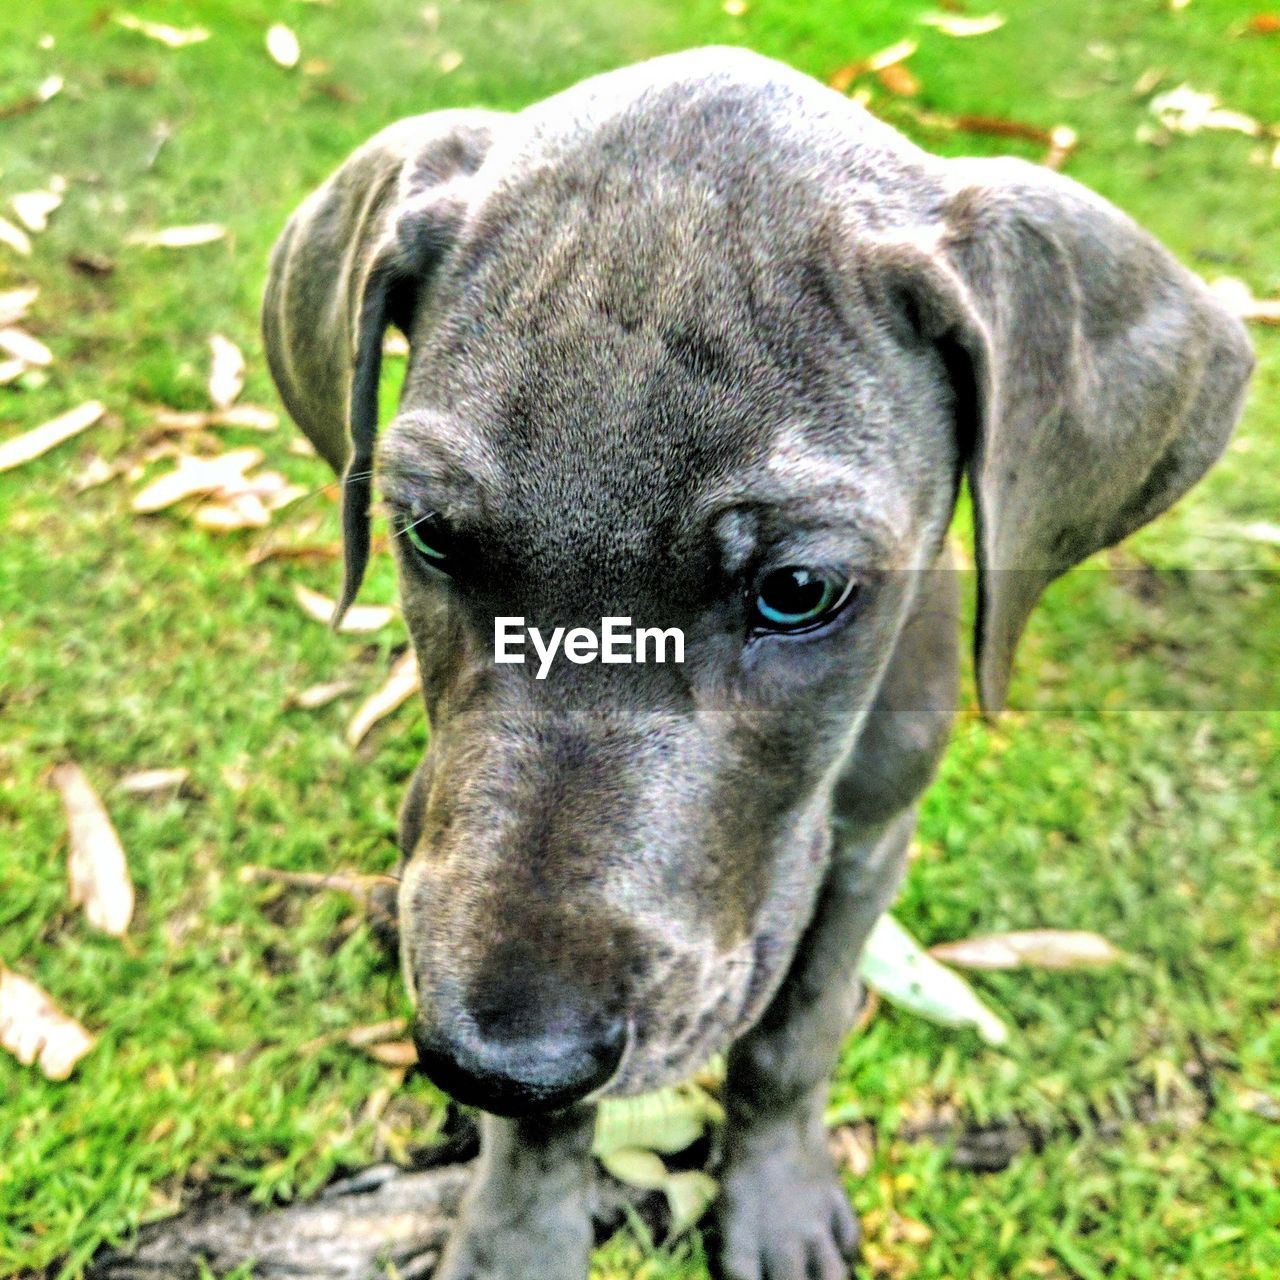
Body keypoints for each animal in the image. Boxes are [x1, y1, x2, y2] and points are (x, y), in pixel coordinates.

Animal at [259, 47, 1249, 1280]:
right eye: (429, 533)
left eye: (798, 590)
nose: (498, 1060)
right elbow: (542, 1135)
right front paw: (516, 1240)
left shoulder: (867, 844)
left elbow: (795, 1032)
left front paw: (774, 1203)